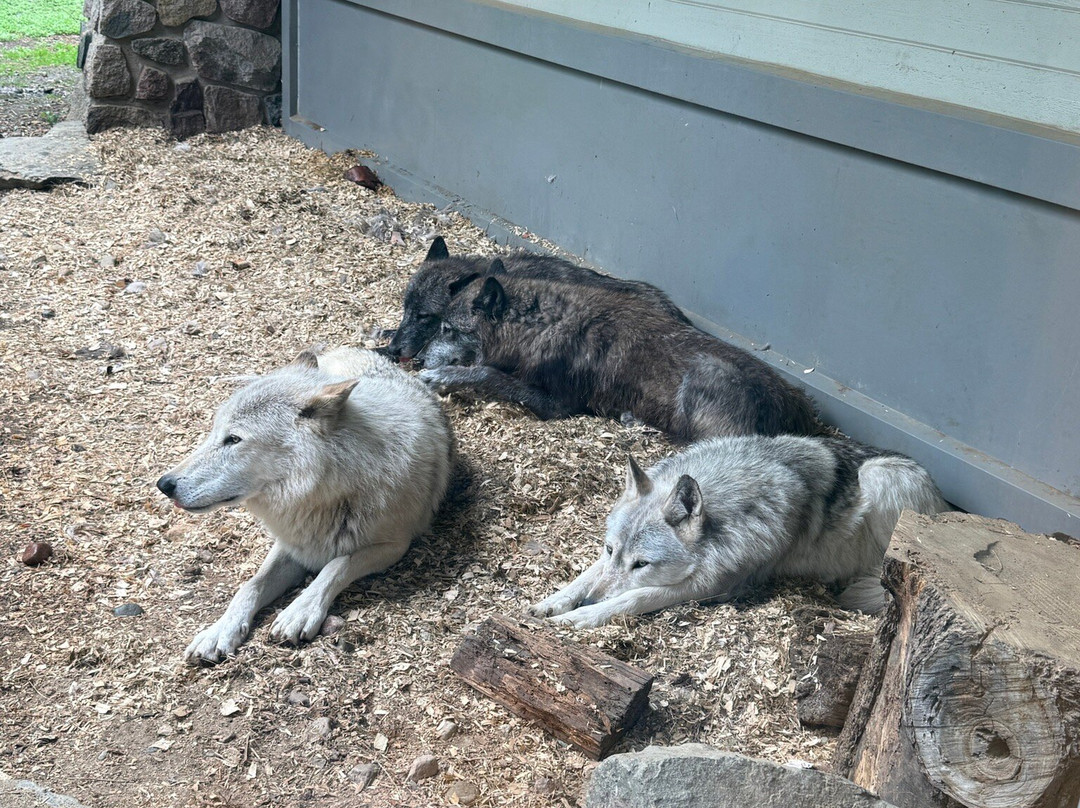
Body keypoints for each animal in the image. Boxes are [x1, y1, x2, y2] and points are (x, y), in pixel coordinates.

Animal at [157, 346, 454, 663]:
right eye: (214, 432)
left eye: (233, 439)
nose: (164, 484)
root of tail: (355, 348)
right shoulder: (292, 542)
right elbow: (250, 585)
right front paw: (219, 632)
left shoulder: (393, 546)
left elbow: (336, 565)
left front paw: (298, 612)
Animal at [417, 263, 822, 440]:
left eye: (448, 329)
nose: (417, 358)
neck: (542, 324)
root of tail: (800, 411)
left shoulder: (559, 406)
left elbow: (489, 374)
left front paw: (443, 376)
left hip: (706, 372)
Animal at [528, 434, 948, 628]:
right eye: (609, 550)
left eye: (642, 565)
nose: (588, 603)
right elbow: (587, 575)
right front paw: (556, 601)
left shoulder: (715, 585)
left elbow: (635, 597)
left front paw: (584, 615)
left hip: (878, 476)